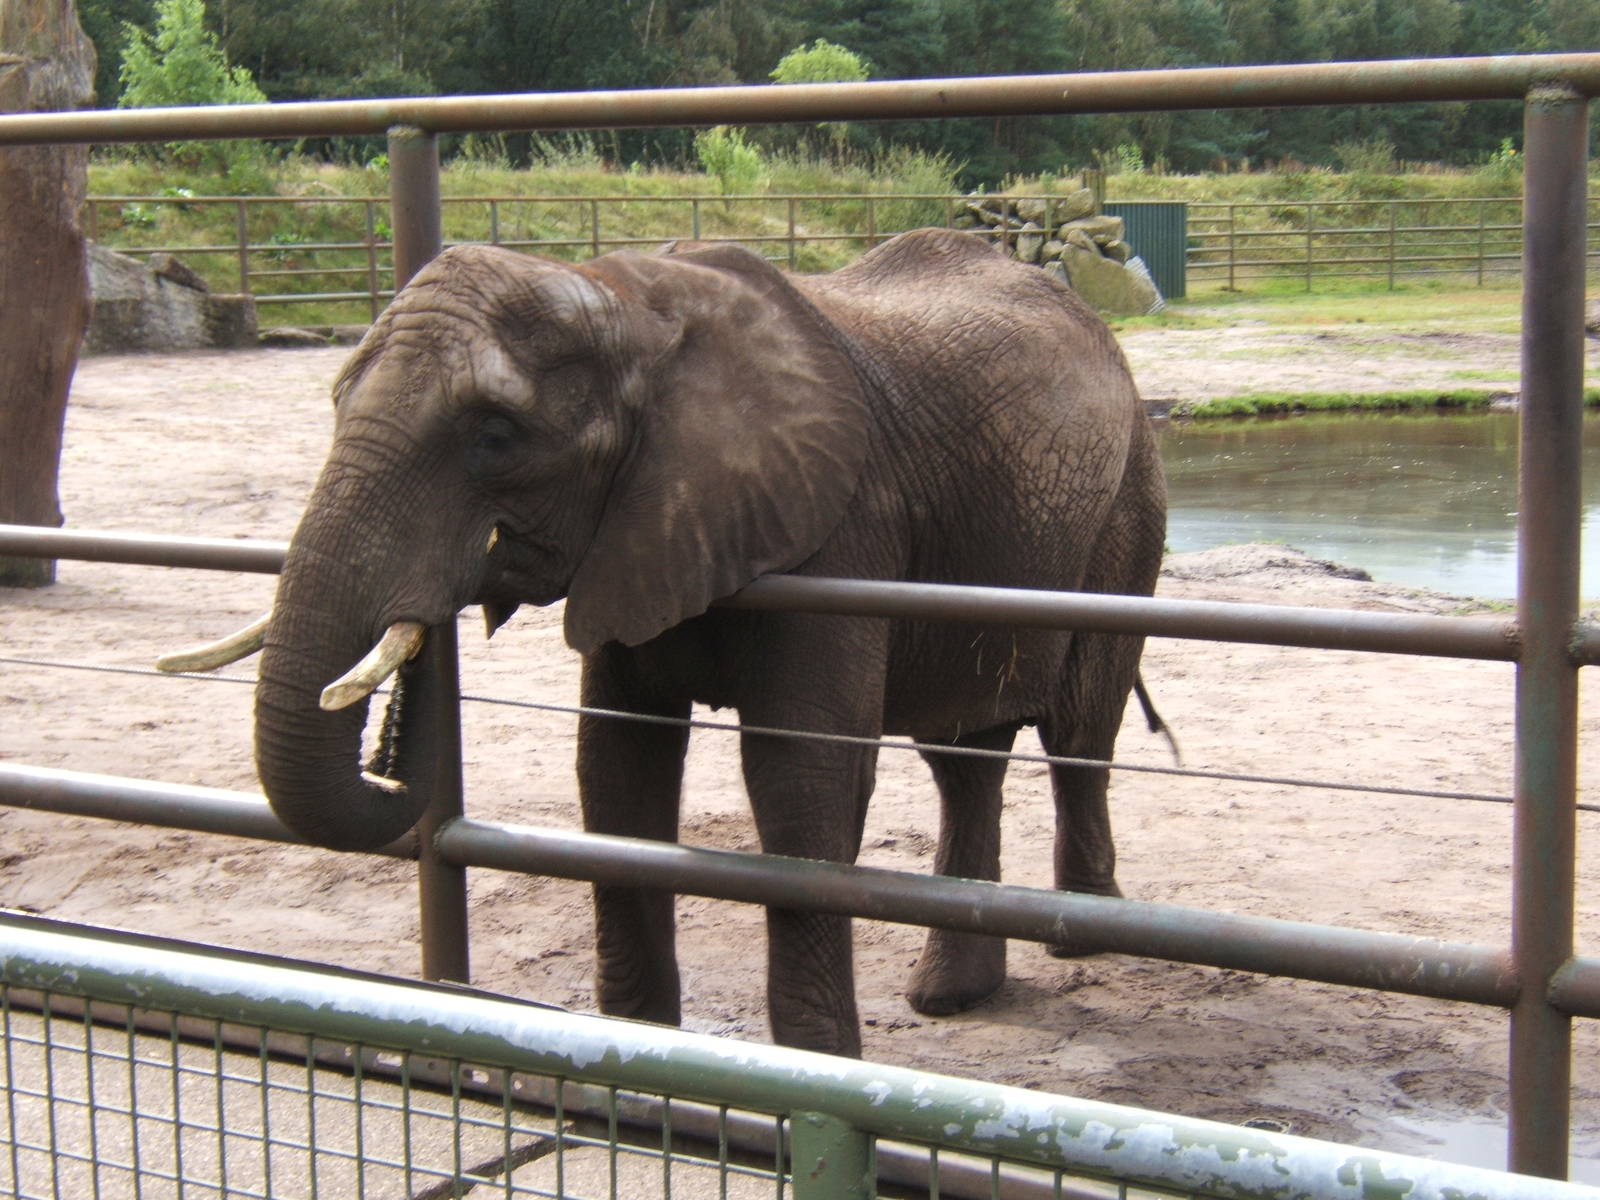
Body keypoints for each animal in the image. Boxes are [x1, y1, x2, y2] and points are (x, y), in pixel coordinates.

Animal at [203, 227, 1166, 1058]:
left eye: (495, 436)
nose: (387, 750)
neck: (631, 308)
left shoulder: (841, 525)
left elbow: (801, 776)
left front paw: (818, 1069)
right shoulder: (634, 535)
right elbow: (616, 765)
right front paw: (640, 1058)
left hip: (1128, 504)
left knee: (1078, 731)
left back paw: (1082, 941)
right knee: (964, 751)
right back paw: (952, 993)